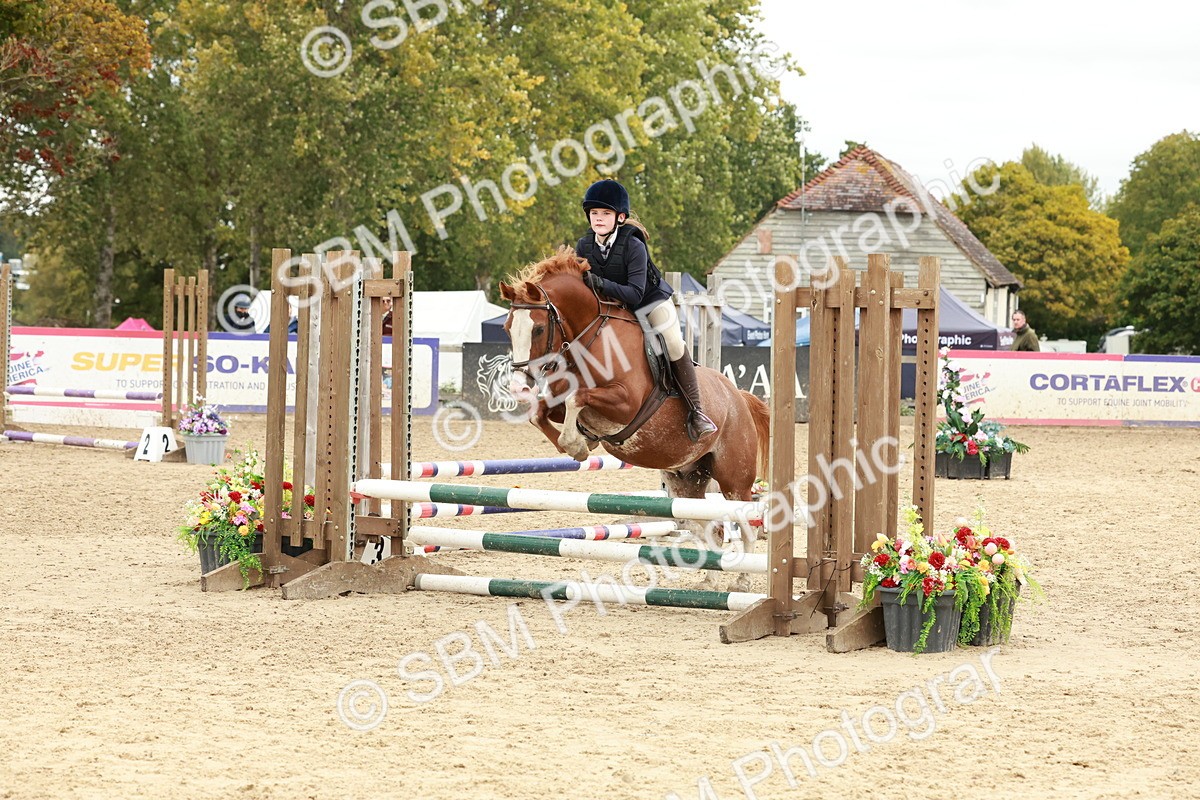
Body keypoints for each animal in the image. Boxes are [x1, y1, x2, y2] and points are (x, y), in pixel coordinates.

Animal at [498, 248, 771, 591]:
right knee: (711, 528)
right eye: (507, 327)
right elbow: (542, 412)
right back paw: (710, 581)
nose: (518, 388)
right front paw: (578, 445)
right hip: (686, 483)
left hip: (734, 479)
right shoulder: (560, 401)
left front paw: (576, 443)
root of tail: (739, 398)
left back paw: (743, 582)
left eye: (537, 328)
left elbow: (578, 398)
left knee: (746, 524)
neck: (590, 340)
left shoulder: (625, 403)